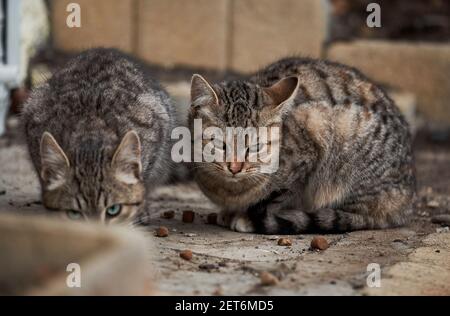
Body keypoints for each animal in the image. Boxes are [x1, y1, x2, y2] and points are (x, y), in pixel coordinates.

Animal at [189, 57, 414, 235]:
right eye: (220, 144)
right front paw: (229, 212)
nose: (235, 168)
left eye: (255, 147)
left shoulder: (308, 149)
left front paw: (244, 216)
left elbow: (275, 198)